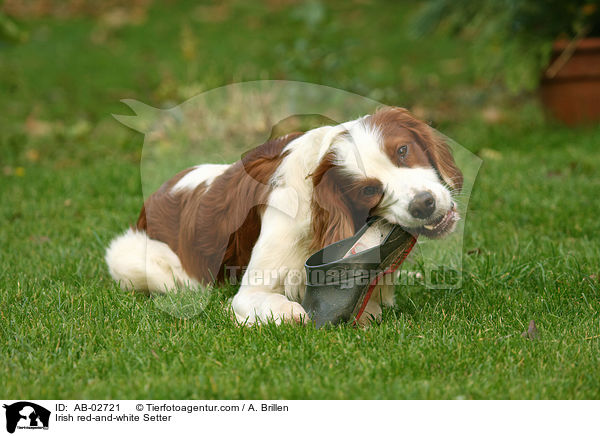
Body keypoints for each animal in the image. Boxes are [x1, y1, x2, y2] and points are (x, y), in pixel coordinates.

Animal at [106, 106, 464, 324]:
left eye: (403, 150)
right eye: (368, 191)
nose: (423, 204)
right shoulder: (250, 293)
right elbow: (285, 307)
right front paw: (298, 313)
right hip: (135, 259)